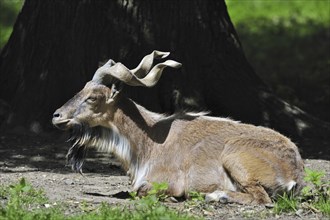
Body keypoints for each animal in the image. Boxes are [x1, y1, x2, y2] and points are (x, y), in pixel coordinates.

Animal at [52, 50, 304, 205]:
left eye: (93, 97)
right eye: (82, 89)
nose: (57, 116)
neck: (148, 141)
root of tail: (295, 173)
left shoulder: (167, 182)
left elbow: (142, 192)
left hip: (235, 158)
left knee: (261, 198)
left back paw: (217, 196)